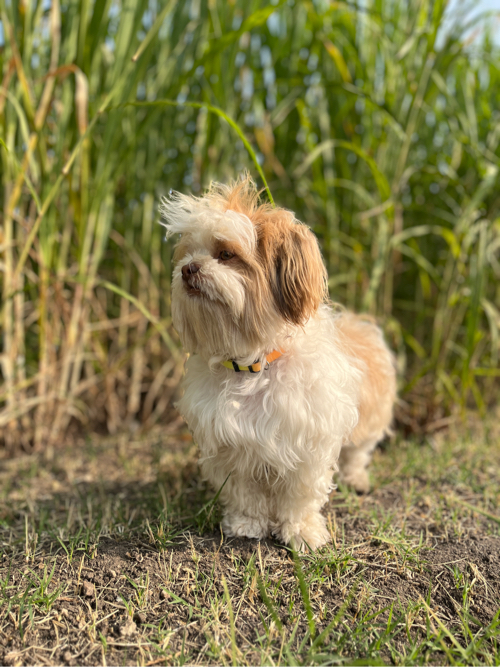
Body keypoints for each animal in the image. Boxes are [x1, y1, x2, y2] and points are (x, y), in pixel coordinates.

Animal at [160, 175, 394, 552]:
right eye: (188, 253)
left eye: (226, 254)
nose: (187, 269)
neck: (253, 364)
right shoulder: (231, 444)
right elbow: (245, 492)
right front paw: (246, 524)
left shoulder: (309, 441)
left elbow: (300, 495)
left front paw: (302, 532)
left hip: (371, 417)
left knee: (359, 451)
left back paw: (356, 477)